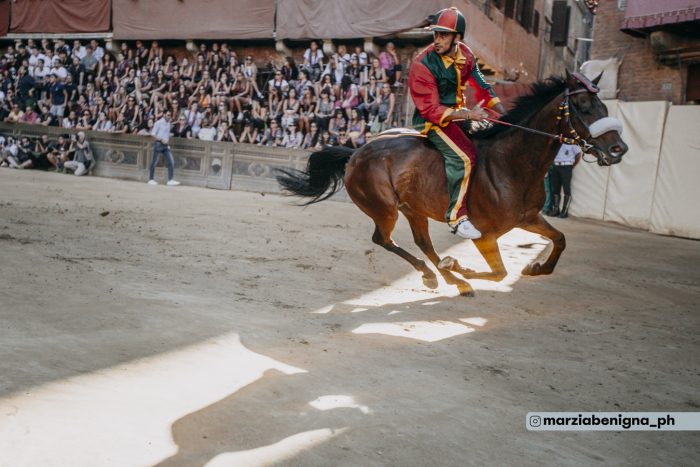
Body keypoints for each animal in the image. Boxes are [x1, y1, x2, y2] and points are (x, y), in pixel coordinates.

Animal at [274, 71, 628, 298]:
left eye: (604, 107)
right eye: (584, 108)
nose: (618, 149)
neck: (510, 165)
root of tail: (356, 151)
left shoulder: (527, 217)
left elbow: (560, 239)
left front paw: (536, 268)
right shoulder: (485, 234)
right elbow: (499, 272)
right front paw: (462, 266)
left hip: (413, 208)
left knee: (422, 243)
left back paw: (447, 277)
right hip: (385, 209)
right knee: (383, 239)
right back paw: (439, 274)